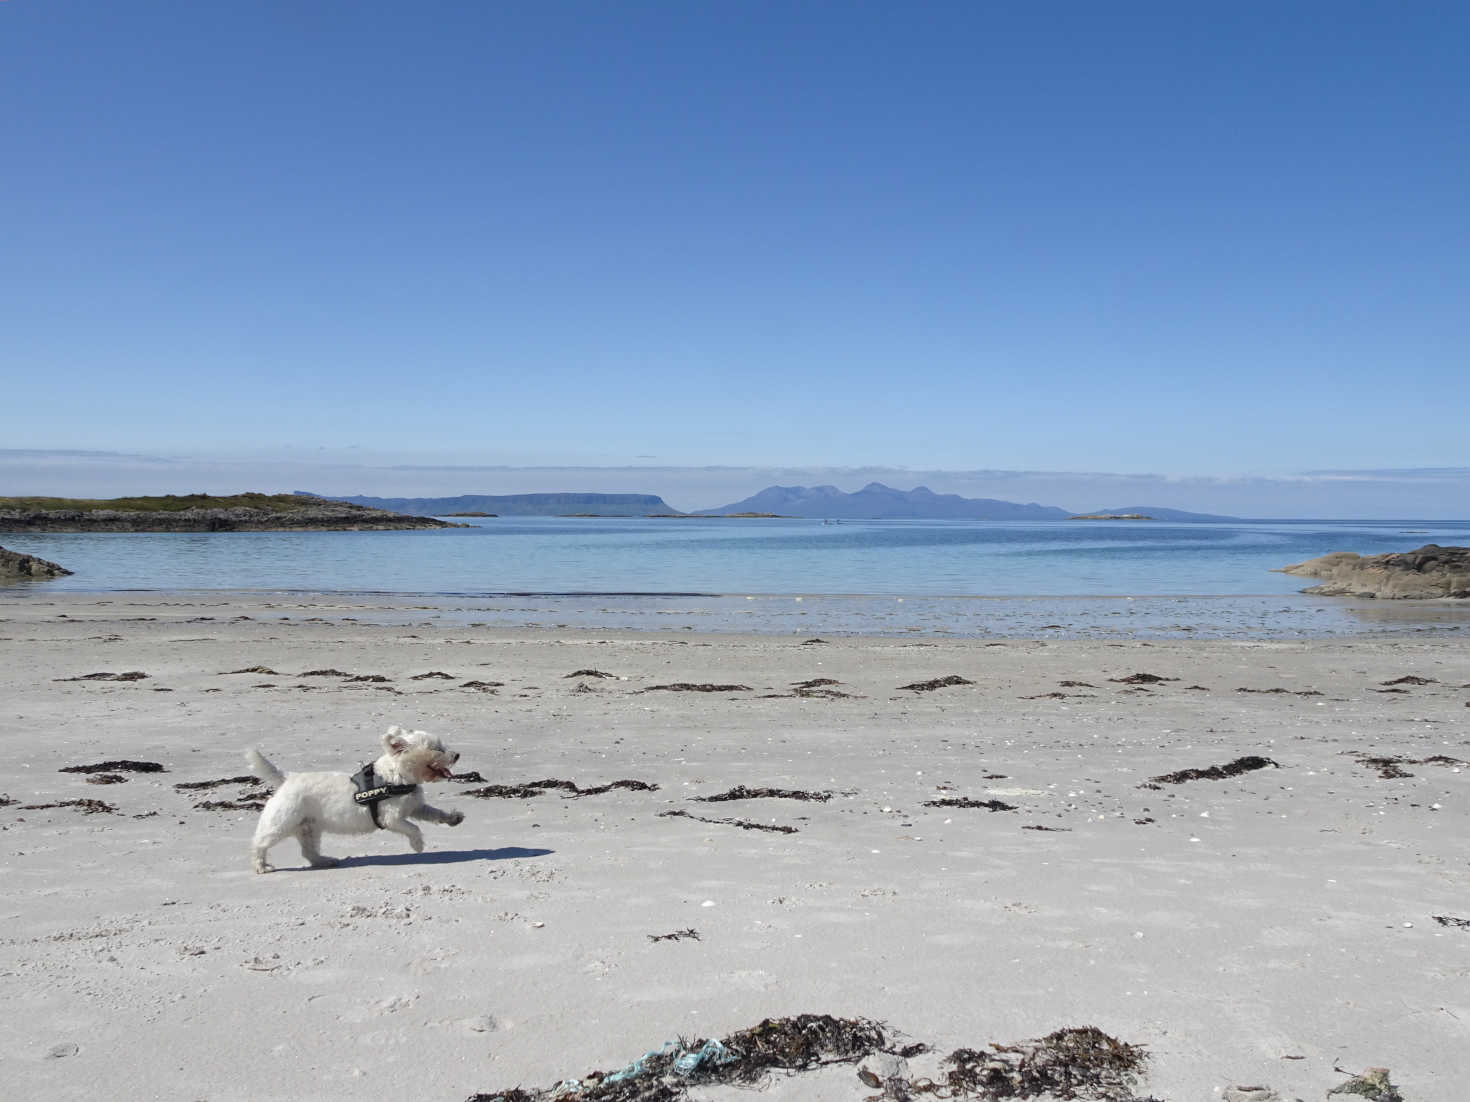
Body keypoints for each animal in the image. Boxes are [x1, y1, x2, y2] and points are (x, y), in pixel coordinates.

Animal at [246, 728, 461, 875]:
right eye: (435, 749)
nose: (457, 755)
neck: (397, 778)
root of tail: (287, 778)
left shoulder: (415, 807)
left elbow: (434, 813)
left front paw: (453, 818)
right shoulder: (391, 819)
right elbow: (414, 828)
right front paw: (418, 846)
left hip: (309, 828)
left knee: (308, 852)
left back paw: (325, 861)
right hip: (281, 824)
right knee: (259, 843)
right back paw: (261, 866)